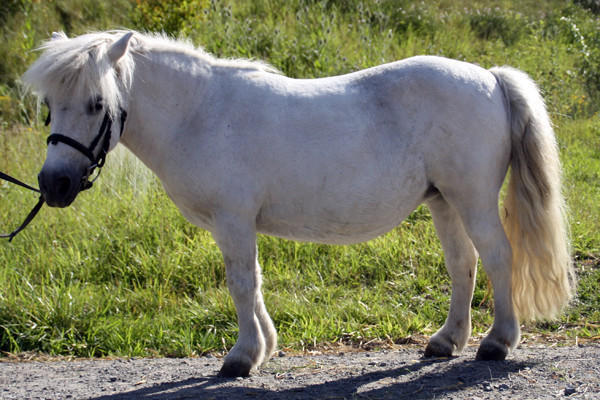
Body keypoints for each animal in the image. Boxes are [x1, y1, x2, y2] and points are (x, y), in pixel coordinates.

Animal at [23, 32, 576, 378]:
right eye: (50, 105)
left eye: (97, 103)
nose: (54, 184)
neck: (201, 113)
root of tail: (490, 78)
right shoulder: (238, 226)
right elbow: (254, 282)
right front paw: (263, 348)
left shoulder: (233, 221)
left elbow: (241, 284)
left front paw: (242, 357)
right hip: (443, 202)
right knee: (463, 264)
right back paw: (446, 342)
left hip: (472, 200)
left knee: (499, 258)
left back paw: (497, 342)